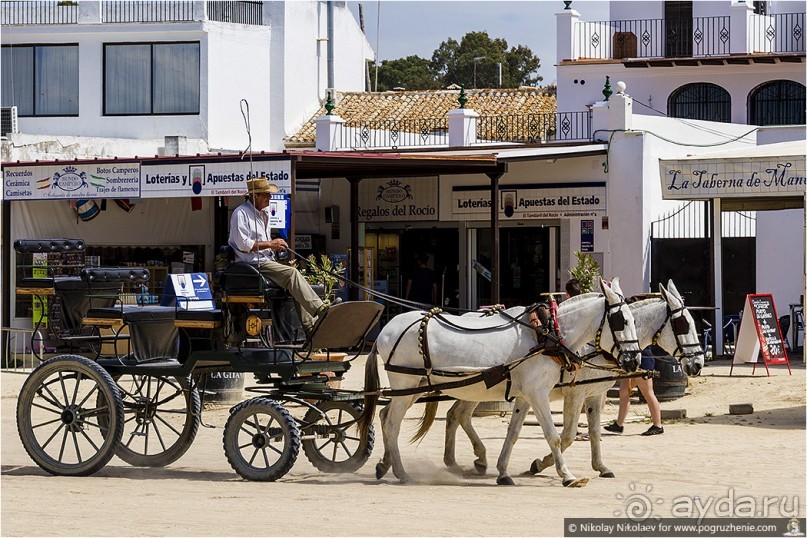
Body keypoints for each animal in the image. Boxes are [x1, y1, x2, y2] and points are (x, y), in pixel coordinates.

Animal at [356, 278, 640, 484]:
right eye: (621, 320)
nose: (635, 360)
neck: (546, 335)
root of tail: (386, 330)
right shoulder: (539, 393)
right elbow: (553, 435)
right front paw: (567, 475)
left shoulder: (525, 395)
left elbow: (513, 433)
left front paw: (503, 471)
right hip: (406, 386)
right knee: (392, 423)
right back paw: (401, 472)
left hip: (415, 387)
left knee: (385, 416)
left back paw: (384, 464)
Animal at [436, 278, 708, 476]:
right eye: (683, 325)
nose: (697, 363)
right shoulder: (575, 392)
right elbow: (566, 435)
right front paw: (541, 464)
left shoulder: (594, 393)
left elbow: (595, 432)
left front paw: (601, 467)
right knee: (459, 415)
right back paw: (472, 458)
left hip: (474, 388)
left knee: (455, 415)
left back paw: (462, 460)